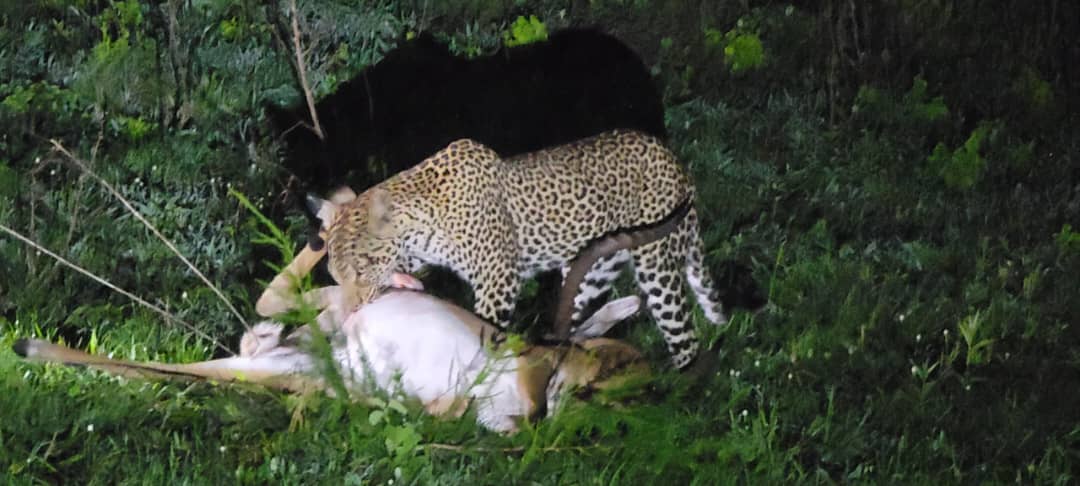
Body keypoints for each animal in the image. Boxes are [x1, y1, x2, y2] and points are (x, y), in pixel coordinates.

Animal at [312, 129, 727, 368]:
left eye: (363, 266)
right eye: (336, 274)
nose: (353, 308)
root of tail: (674, 160)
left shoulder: (497, 277)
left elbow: (484, 326)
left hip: (656, 263)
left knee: (685, 336)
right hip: (593, 269)